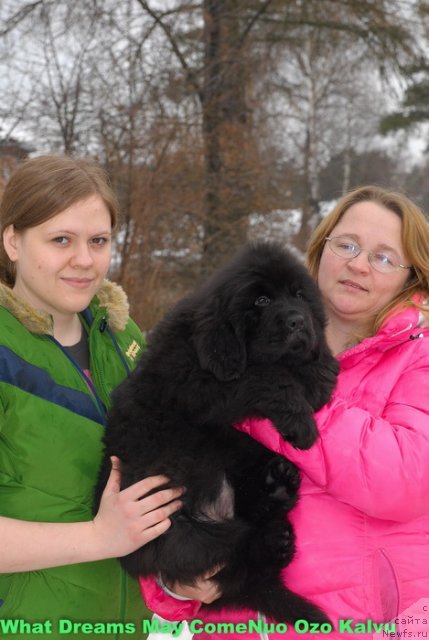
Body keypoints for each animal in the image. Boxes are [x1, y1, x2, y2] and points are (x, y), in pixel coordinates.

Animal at [96, 242, 338, 624]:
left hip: (242, 465)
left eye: (299, 295)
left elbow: (301, 368)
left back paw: (279, 500)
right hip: (176, 531)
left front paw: (320, 374)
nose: (299, 321)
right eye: (262, 301)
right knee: (229, 555)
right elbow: (267, 375)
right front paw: (302, 422)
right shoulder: (199, 382)